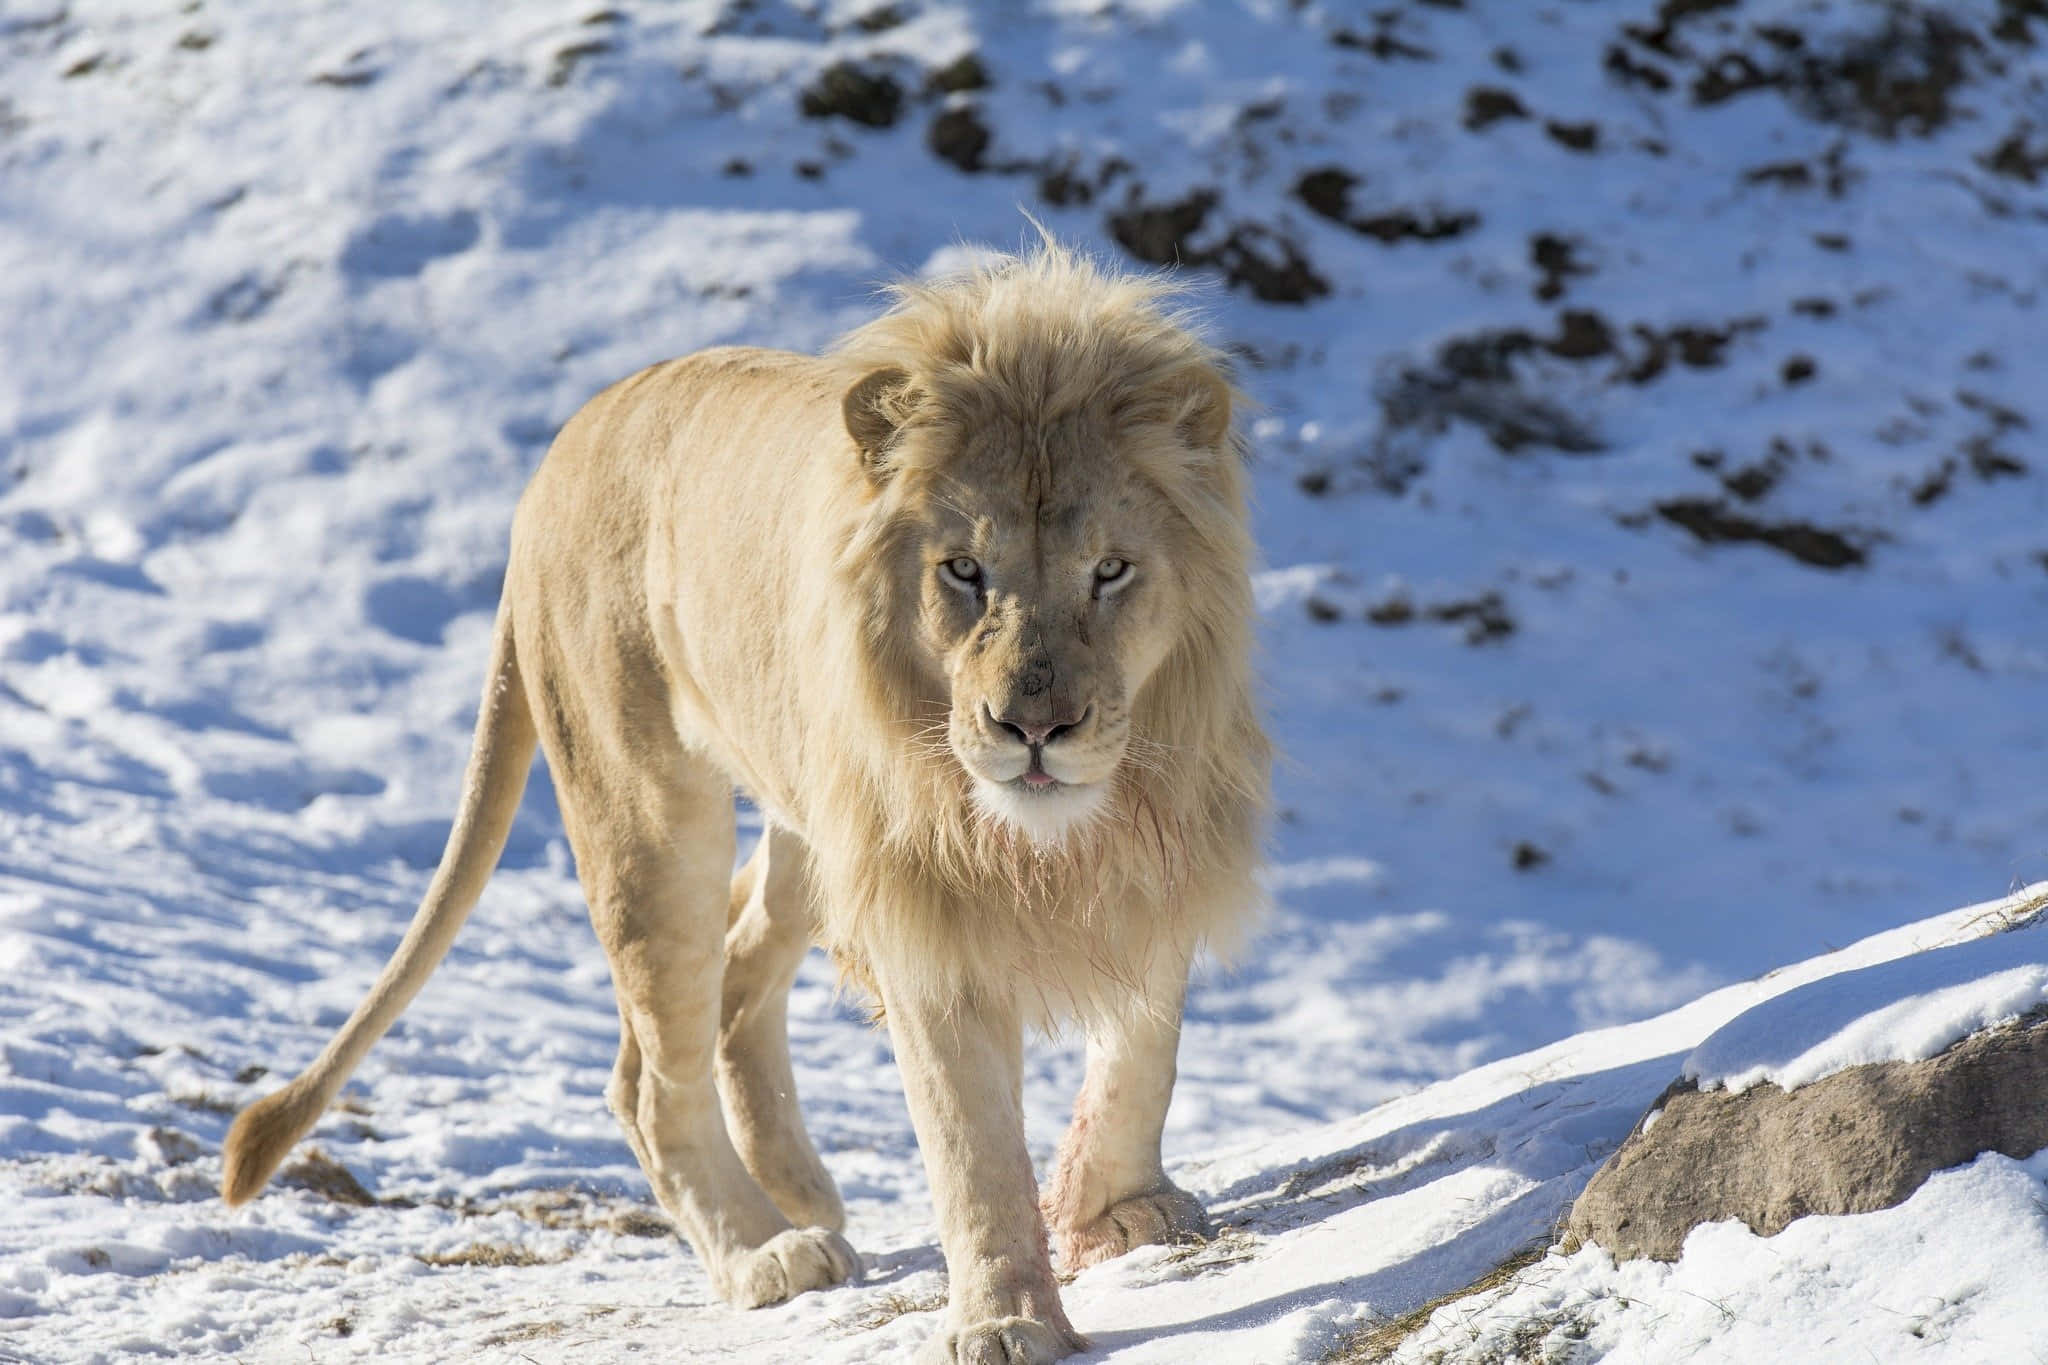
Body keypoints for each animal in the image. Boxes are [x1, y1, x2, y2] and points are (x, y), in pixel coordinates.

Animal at [221, 241, 1270, 1363]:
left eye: (1109, 570)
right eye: (964, 571)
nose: (1033, 727)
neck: (1062, 833)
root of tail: (554, 460)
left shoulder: (1165, 853)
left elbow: (1144, 1048)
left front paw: (1118, 1208)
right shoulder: (924, 917)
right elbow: (970, 1143)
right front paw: (1006, 1317)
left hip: (807, 824)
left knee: (731, 978)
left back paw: (798, 1191)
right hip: (645, 810)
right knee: (653, 1070)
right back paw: (766, 1251)